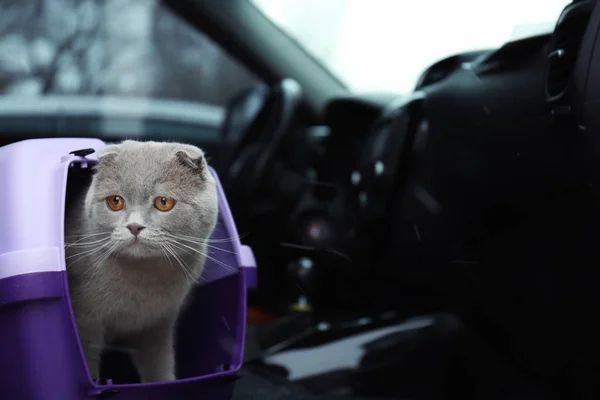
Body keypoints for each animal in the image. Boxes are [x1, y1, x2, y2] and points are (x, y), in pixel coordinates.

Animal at [65, 139, 218, 382]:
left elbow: (159, 363)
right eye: (115, 202)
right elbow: (88, 362)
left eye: (164, 202)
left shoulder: (158, 325)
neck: (144, 281)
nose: (134, 226)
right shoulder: (84, 321)